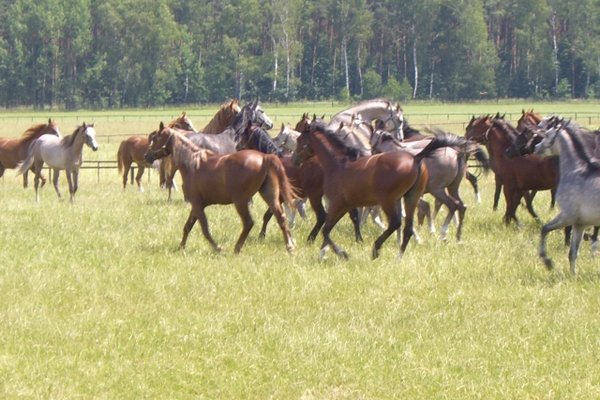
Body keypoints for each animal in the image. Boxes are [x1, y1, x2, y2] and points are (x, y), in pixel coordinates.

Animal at [145, 123, 296, 253]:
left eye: (155, 138)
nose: (147, 155)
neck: (192, 163)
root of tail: (265, 157)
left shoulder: (197, 205)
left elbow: (205, 229)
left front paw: (218, 248)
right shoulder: (196, 205)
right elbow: (187, 226)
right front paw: (181, 247)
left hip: (240, 201)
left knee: (248, 222)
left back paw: (237, 248)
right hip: (269, 196)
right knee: (281, 218)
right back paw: (289, 246)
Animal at [532, 120, 600, 274]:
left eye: (547, 134)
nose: (536, 148)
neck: (577, 171)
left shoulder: (567, 217)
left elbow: (545, 228)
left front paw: (547, 261)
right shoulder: (580, 224)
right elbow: (573, 253)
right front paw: (573, 274)